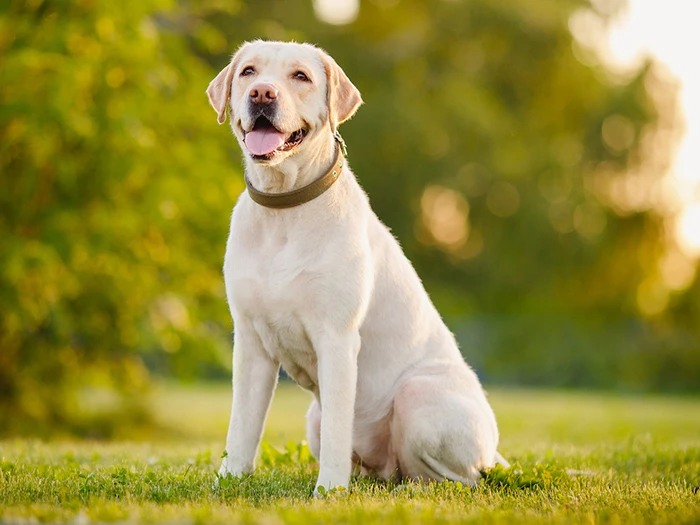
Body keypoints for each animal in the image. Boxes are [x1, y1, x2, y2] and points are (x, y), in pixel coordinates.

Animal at [205, 40, 506, 492]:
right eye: (248, 72)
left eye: (300, 76)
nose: (262, 94)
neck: (283, 210)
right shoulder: (251, 342)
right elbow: (242, 425)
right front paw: (230, 480)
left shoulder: (336, 339)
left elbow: (337, 428)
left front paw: (329, 490)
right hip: (314, 418)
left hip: (418, 398)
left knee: (456, 477)